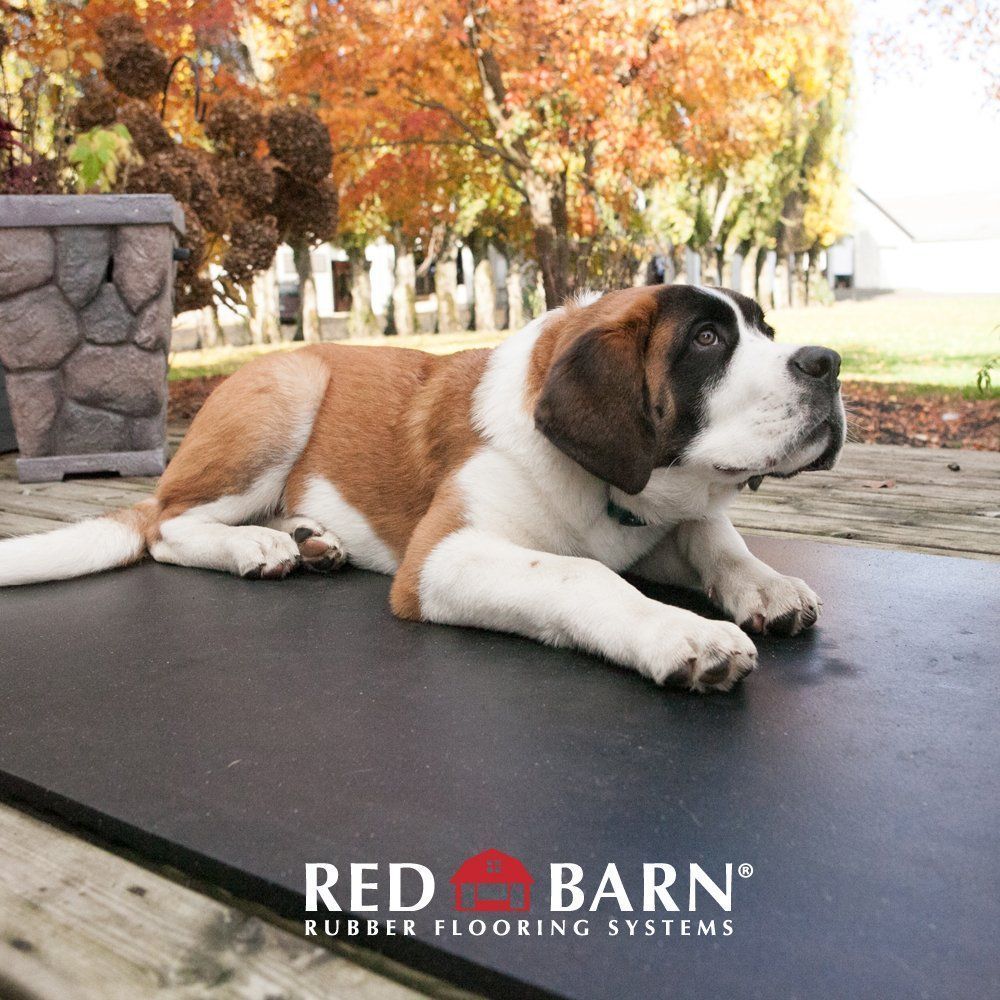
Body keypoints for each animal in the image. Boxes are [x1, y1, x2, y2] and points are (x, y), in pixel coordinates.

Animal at [0, 286, 844, 692]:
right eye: (707, 339)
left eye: (766, 331)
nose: (828, 362)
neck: (602, 486)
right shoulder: (443, 559)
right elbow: (581, 574)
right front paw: (681, 633)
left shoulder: (657, 520)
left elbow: (709, 534)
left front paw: (764, 583)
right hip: (290, 388)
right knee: (166, 528)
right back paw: (258, 546)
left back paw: (307, 539)